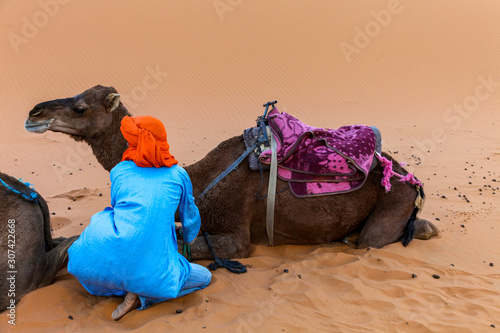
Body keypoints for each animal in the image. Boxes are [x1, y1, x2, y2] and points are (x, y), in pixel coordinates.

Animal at [24, 85, 438, 260]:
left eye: (79, 108)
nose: (34, 113)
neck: (198, 178)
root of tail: (410, 179)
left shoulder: (238, 233)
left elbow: (199, 248)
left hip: (392, 202)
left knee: (373, 238)